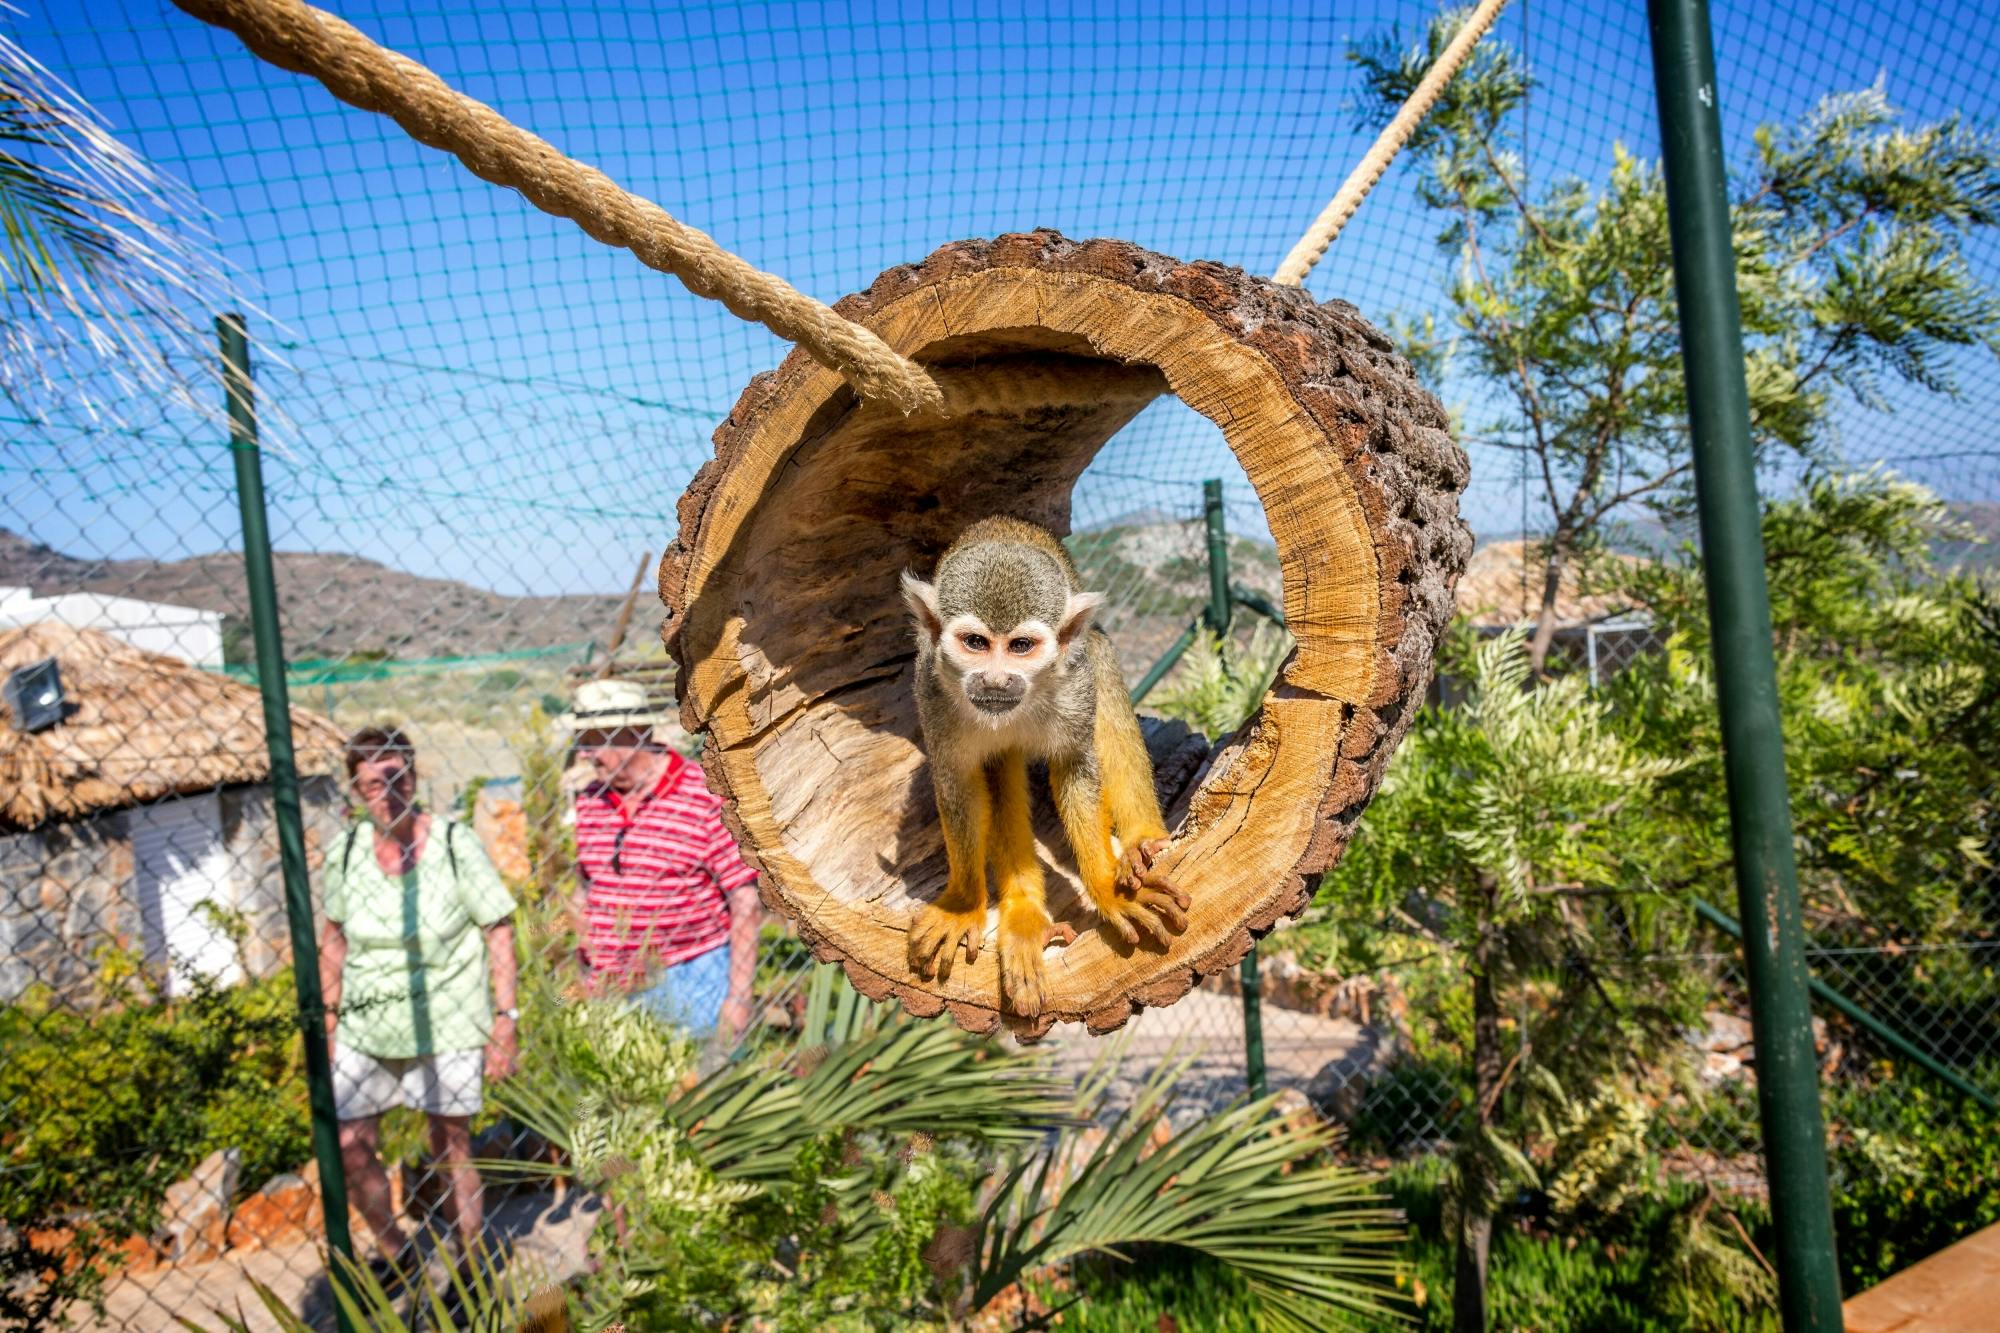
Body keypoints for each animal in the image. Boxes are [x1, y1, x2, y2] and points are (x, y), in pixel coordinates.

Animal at [904, 512, 1184, 1012]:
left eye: (1020, 647)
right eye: (976, 643)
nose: (996, 680)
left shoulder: (1073, 684)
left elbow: (1074, 766)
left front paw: (1109, 888)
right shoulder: (930, 689)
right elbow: (959, 781)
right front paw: (963, 903)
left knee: (1100, 659)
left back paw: (1142, 840)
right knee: (1000, 765)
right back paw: (1024, 914)